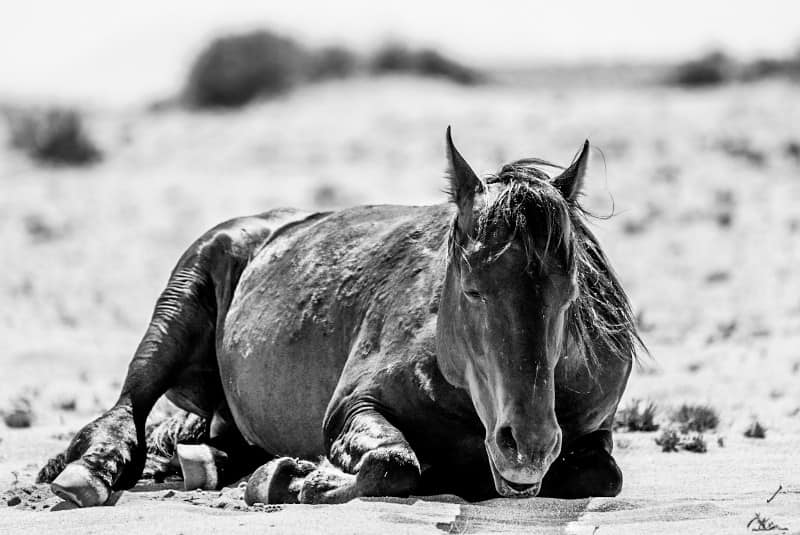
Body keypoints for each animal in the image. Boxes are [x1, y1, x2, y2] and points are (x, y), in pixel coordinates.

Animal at [39, 129, 644, 506]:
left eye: (569, 295)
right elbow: (394, 463)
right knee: (126, 410)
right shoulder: (354, 406)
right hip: (178, 305)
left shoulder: (594, 431)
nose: (530, 447)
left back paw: (202, 461)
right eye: (473, 290)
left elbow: (602, 473)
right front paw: (295, 480)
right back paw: (86, 472)